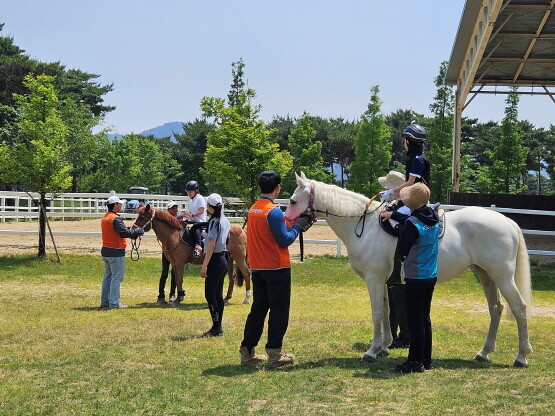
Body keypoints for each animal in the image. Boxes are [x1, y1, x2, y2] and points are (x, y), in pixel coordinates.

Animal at [284, 172, 532, 368]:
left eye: (293, 201)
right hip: (485, 275)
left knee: (519, 308)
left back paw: (521, 356)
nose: (285, 222)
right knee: (496, 309)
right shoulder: (384, 282)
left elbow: (376, 313)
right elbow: (386, 313)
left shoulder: (373, 280)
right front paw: (383, 347)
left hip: (502, 277)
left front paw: (371, 351)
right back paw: (484, 352)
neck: (365, 225)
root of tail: (507, 221)